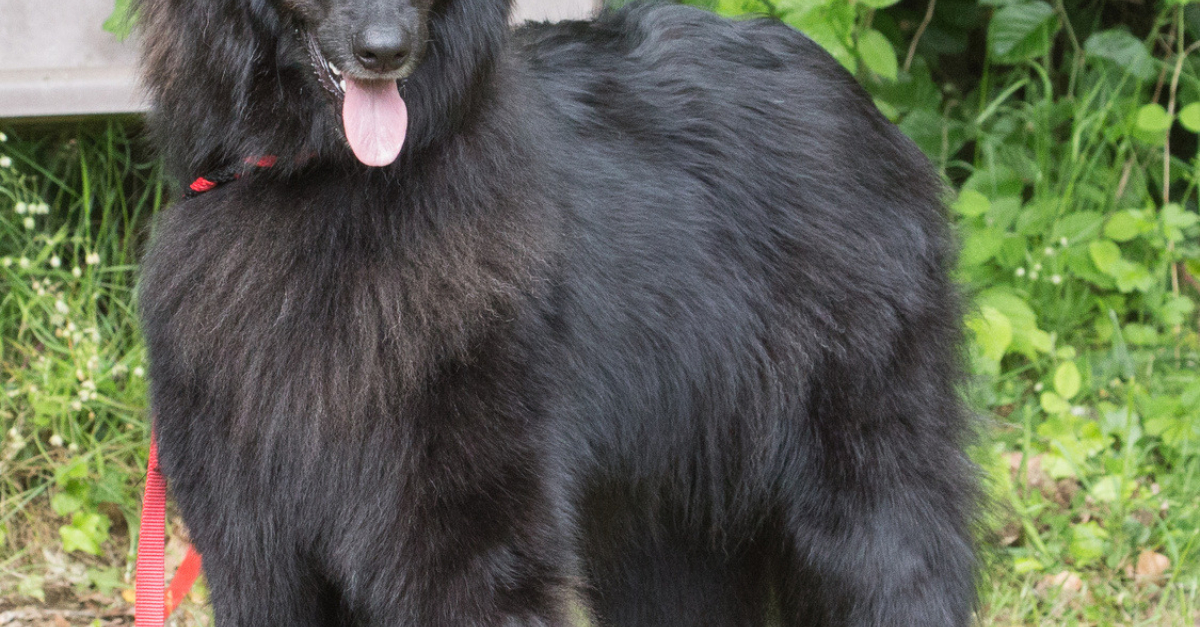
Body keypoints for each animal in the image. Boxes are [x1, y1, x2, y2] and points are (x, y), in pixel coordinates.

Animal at [136, 0, 979, 619]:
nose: (386, 50)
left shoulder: (463, 543)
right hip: (666, 535)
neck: (329, 185)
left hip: (860, 499)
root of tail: (858, 102)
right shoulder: (261, 553)